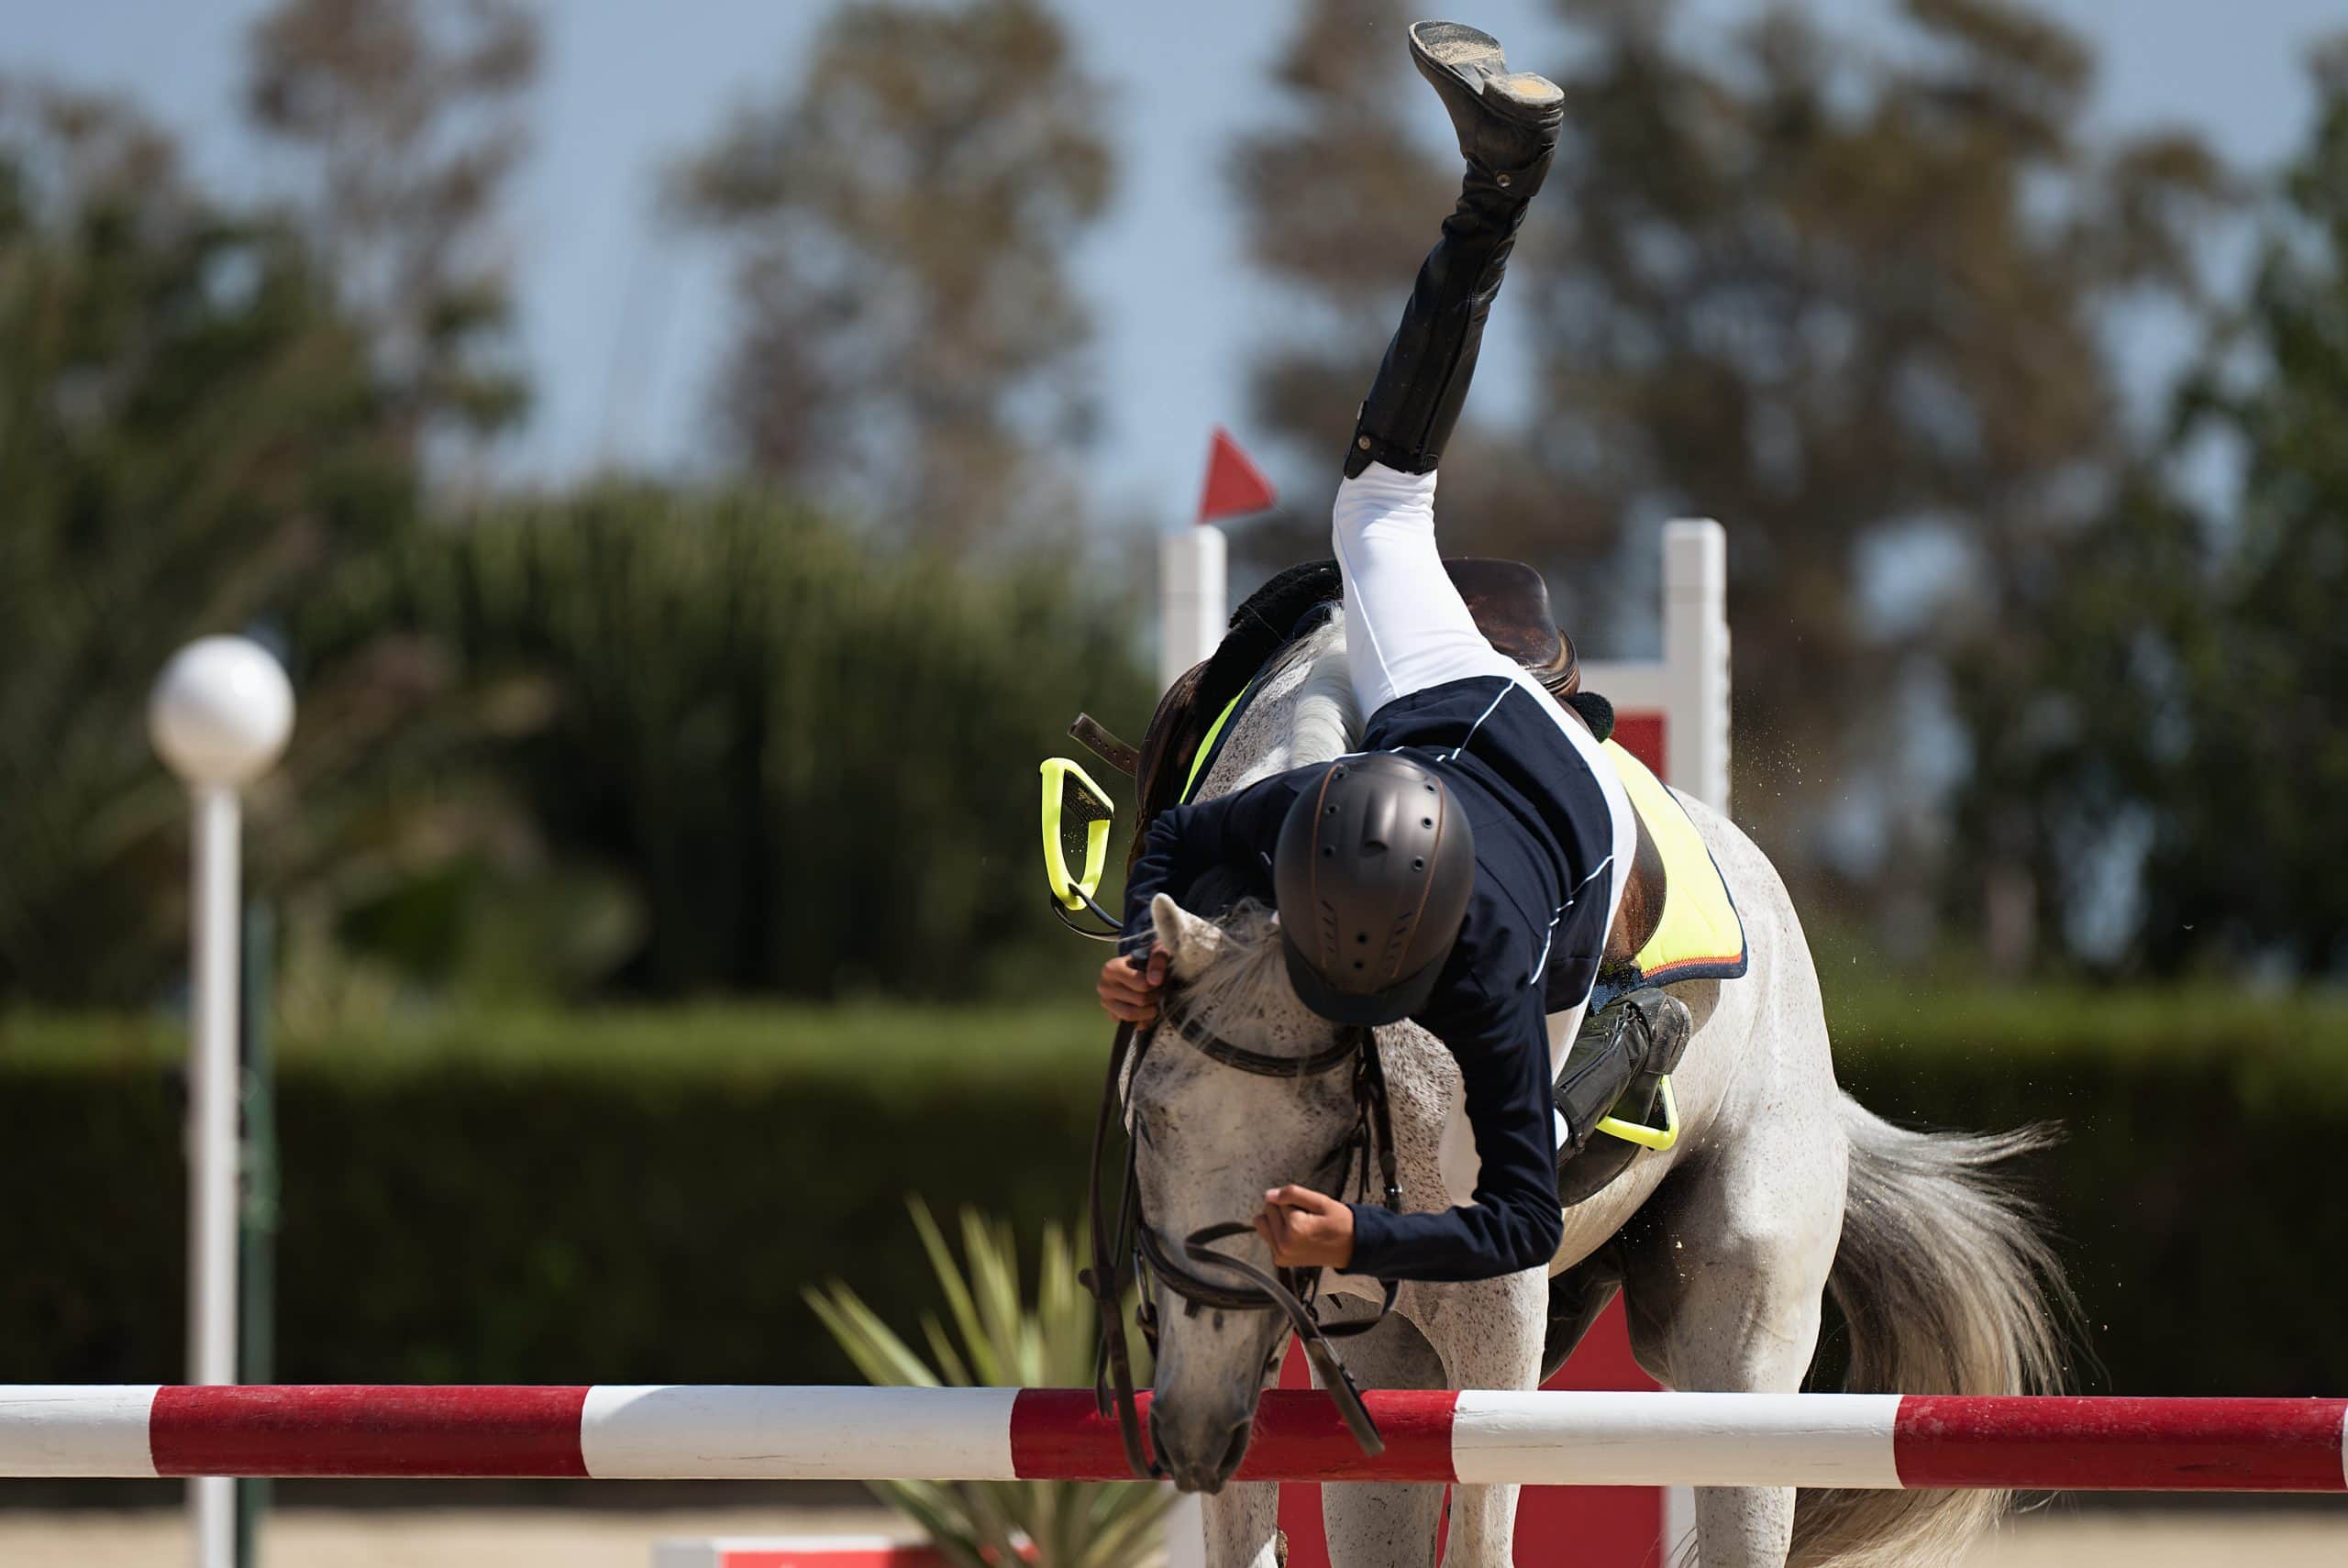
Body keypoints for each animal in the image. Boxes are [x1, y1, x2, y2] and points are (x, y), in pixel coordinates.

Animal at [1126, 619, 2066, 1558]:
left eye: (1330, 1133)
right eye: (1151, 1121)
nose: (1195, 1428)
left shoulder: (1499, 1312)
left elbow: (1481, 1534)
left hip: (1741, 1357)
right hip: (1396, 1348)